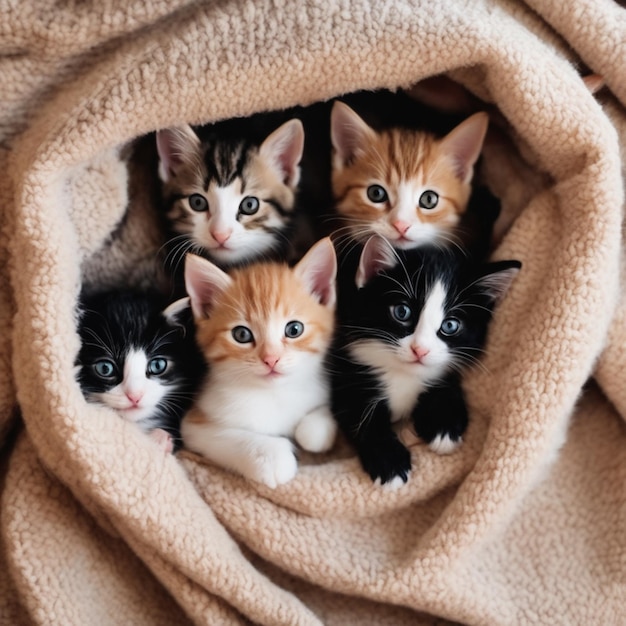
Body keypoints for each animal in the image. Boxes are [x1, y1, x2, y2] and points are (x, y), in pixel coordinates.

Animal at [180, 236, 336, 486]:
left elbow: (312, 432)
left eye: (294, 329)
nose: (271, 359)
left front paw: (314, 428)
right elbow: (225, 435)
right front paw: (271, 456)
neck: (273, 394)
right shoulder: (193, 423)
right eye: (242, 335)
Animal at [330, 236, 520, 486]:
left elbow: (445, 380)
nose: (419, 350)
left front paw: (444, 425)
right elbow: (359, 417)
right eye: (402, 312)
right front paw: (389, 462)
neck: (402, 372)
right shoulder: (344, 368)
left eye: (450, 325)